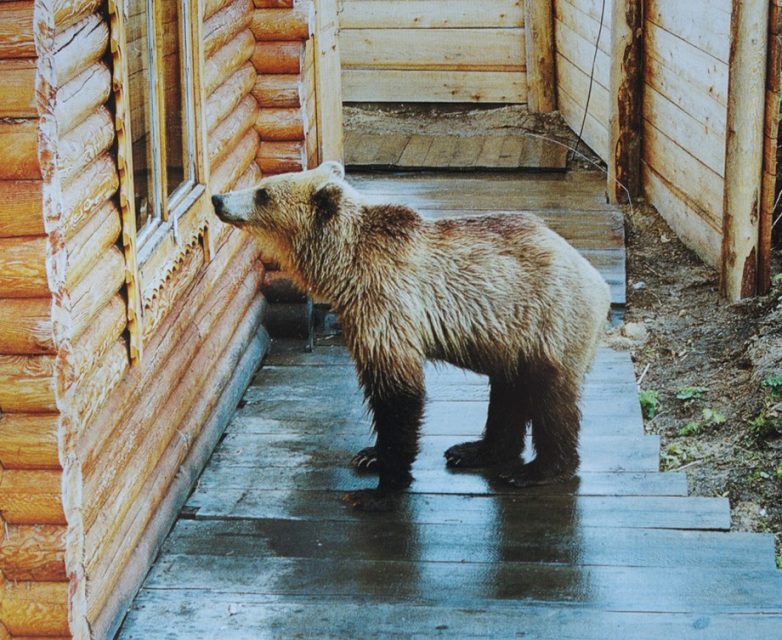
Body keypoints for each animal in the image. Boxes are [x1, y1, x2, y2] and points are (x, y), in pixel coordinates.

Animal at [213, 162, 612, 512]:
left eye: (263, 193)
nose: (219, 198)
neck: (345, 268)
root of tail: (596, 278)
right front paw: (370, 454)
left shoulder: (386, 306)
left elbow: (398, 395)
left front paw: (378, 490)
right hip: (512, 336)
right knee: (508, 391)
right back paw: (475, 450)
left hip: (547, 320)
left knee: (551, 398)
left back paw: (537, 469)